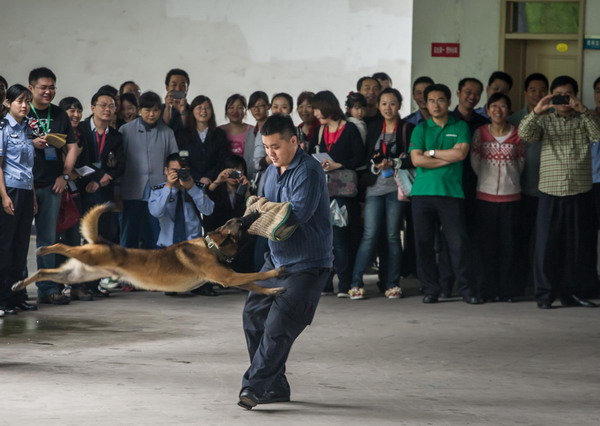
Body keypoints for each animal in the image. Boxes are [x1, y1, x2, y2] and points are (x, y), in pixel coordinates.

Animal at [11, 203, 284, 296]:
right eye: (241, 221)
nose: (256, 211)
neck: (211, 247)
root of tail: (103, 241)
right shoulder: (227, 277)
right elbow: (257, 275)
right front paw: (277, 274)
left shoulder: (230, 278)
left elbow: (254, 284)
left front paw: (273, 291)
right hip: (88, 255)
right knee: (62, 245)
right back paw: (44, 248)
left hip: (78, 272)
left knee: (45, 273)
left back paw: (20, 283)